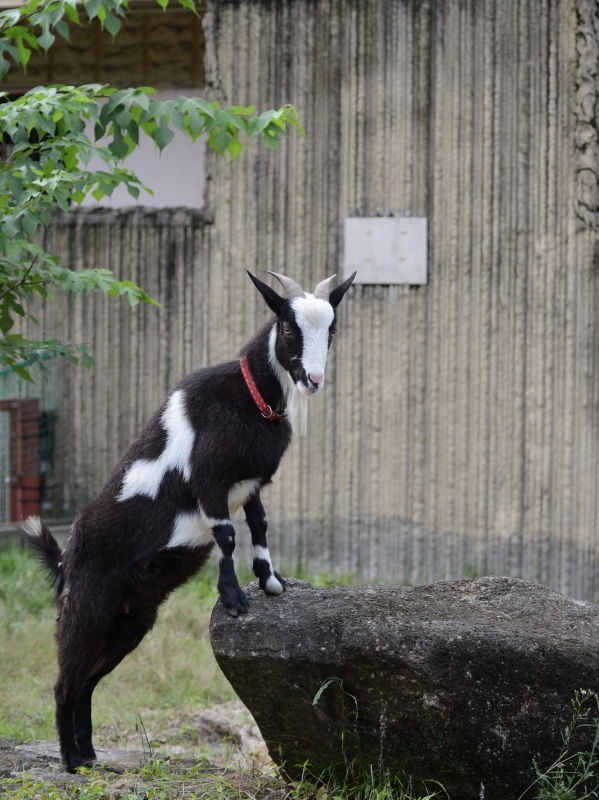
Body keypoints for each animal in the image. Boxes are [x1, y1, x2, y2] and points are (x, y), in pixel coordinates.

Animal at [22, 270, 356, 776]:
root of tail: (64, 560)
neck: (248, 399)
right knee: (65, 682)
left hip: (131, 621)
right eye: (289, 326)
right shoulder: (209, 479)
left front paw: (270, 581)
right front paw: (234, 598)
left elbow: (259, 524)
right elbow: (227, 533)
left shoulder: (250, 483)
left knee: (88, 683)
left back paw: (91, 754)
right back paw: (71, 762)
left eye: (332, 328)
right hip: (86, 608)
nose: (314, 380)